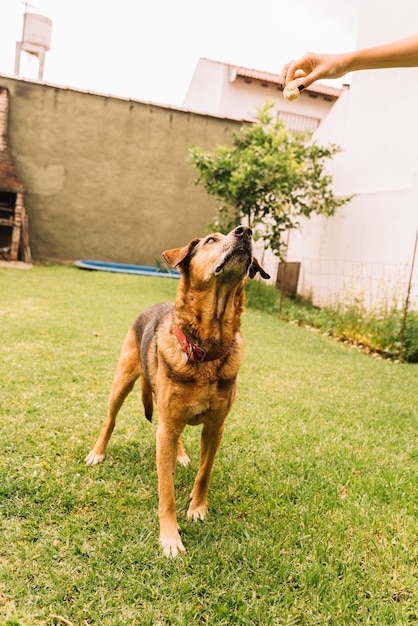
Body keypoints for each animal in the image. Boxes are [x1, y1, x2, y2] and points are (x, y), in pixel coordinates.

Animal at [85, 225, 270, 556]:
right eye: (211, 240)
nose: (245, 231)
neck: (206, 350)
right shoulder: (166, 428)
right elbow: (166, 491)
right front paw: (170, 538)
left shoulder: (215, 427)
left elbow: (204, 472)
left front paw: (198, 508)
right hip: (122, 382)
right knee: (110, 420)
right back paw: (98, 453)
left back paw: (181, 455)